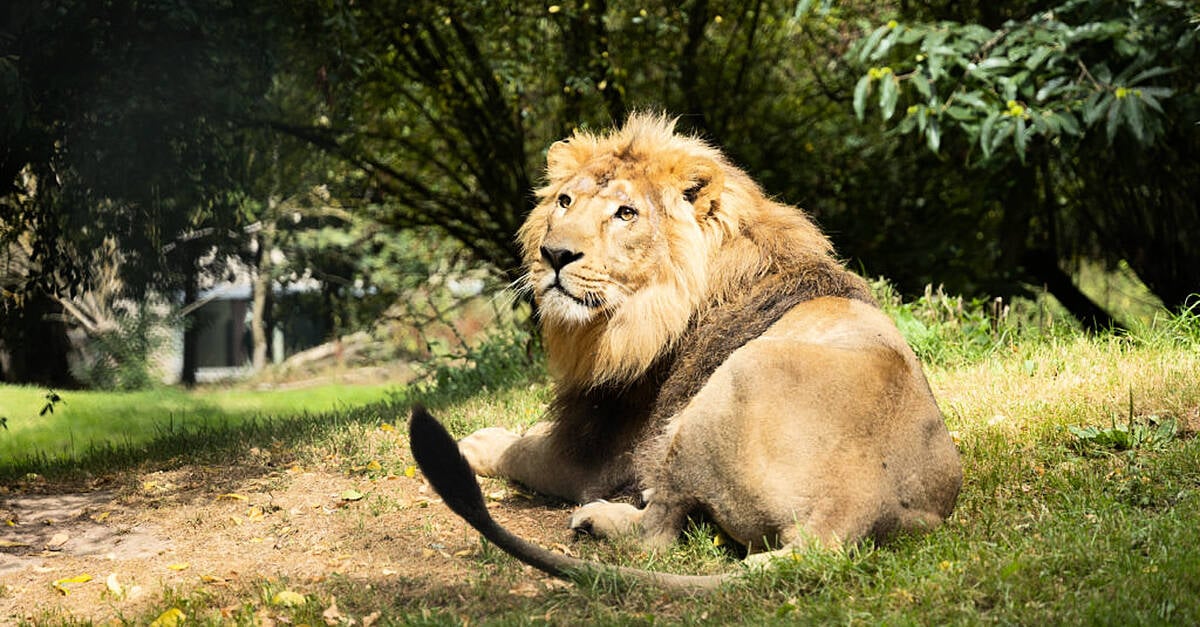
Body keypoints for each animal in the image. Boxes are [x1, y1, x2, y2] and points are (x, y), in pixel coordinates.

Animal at [408, 113, 960, 590]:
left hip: (720, 392)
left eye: (626, 213)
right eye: (564, 201)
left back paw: (598, 519)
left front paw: (477, 442)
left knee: (656, 531)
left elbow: (523, 450)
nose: (555, 254)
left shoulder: (596, 456)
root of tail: (841, 518)